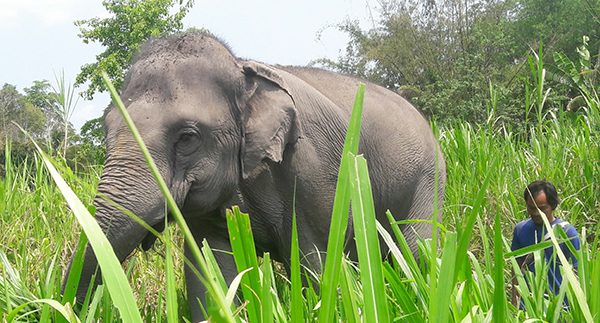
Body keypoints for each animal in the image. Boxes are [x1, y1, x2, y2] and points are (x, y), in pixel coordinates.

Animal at [67, 31, 446, 322]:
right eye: (106, 130)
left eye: (187, 137)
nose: (67, 306)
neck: (242, 68)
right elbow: (212, 272)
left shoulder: (314, 171)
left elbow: (317, 263)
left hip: (428, 179)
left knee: (417, 251)